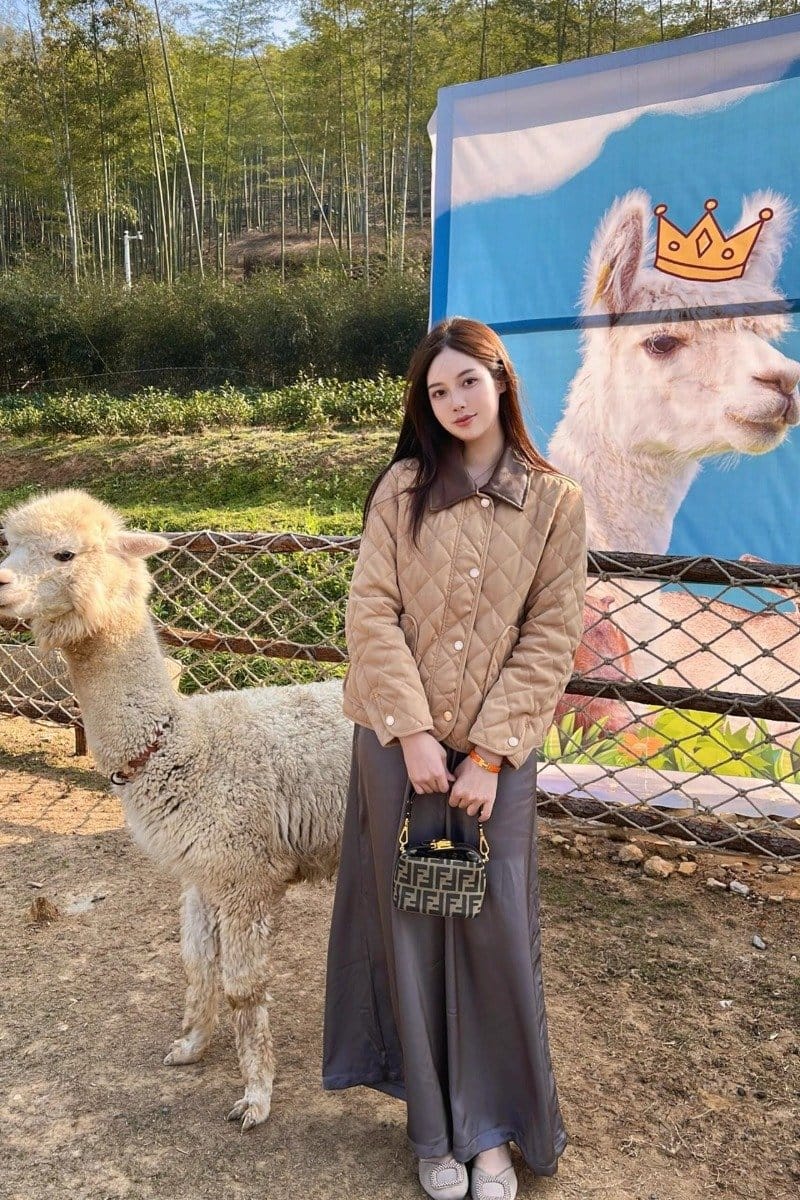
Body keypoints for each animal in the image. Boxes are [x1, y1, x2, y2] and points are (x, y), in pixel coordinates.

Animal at [0, 488, 352, 1130]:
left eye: (64, 554)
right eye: (7, 544)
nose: (0, 583)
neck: (177, 745)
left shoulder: (244, 874)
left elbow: (243, 986)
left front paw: (256, 1096)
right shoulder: (200, 873)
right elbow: (195, 964)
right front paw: (190, 1046)